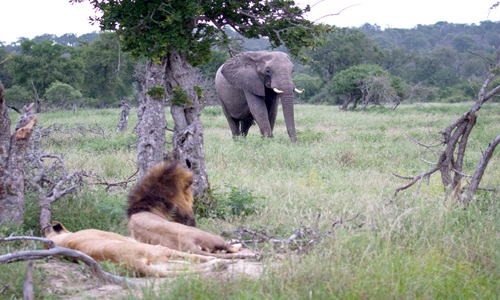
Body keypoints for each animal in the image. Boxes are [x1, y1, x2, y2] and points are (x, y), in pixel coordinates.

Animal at [45, 220, 225, 276]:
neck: (63, 241)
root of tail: (132, 262)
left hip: (160, 263)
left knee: (184, 268)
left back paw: (215, 264)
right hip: (160, 249)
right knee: (193, 259)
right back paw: (216, 262)